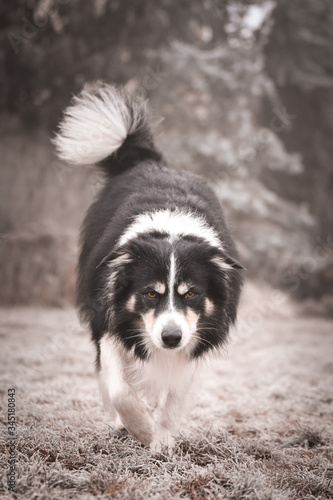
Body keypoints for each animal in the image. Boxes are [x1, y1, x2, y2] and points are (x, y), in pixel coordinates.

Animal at [53, 84, 243, 452]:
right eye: (150, 294)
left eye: (192, 294)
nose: (170, 338)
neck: (170, 230)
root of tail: (152, 162)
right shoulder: (110, 317)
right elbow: (119, 388)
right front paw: (140, 427)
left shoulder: (197, 335)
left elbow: (176, 395)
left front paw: (162, 440)